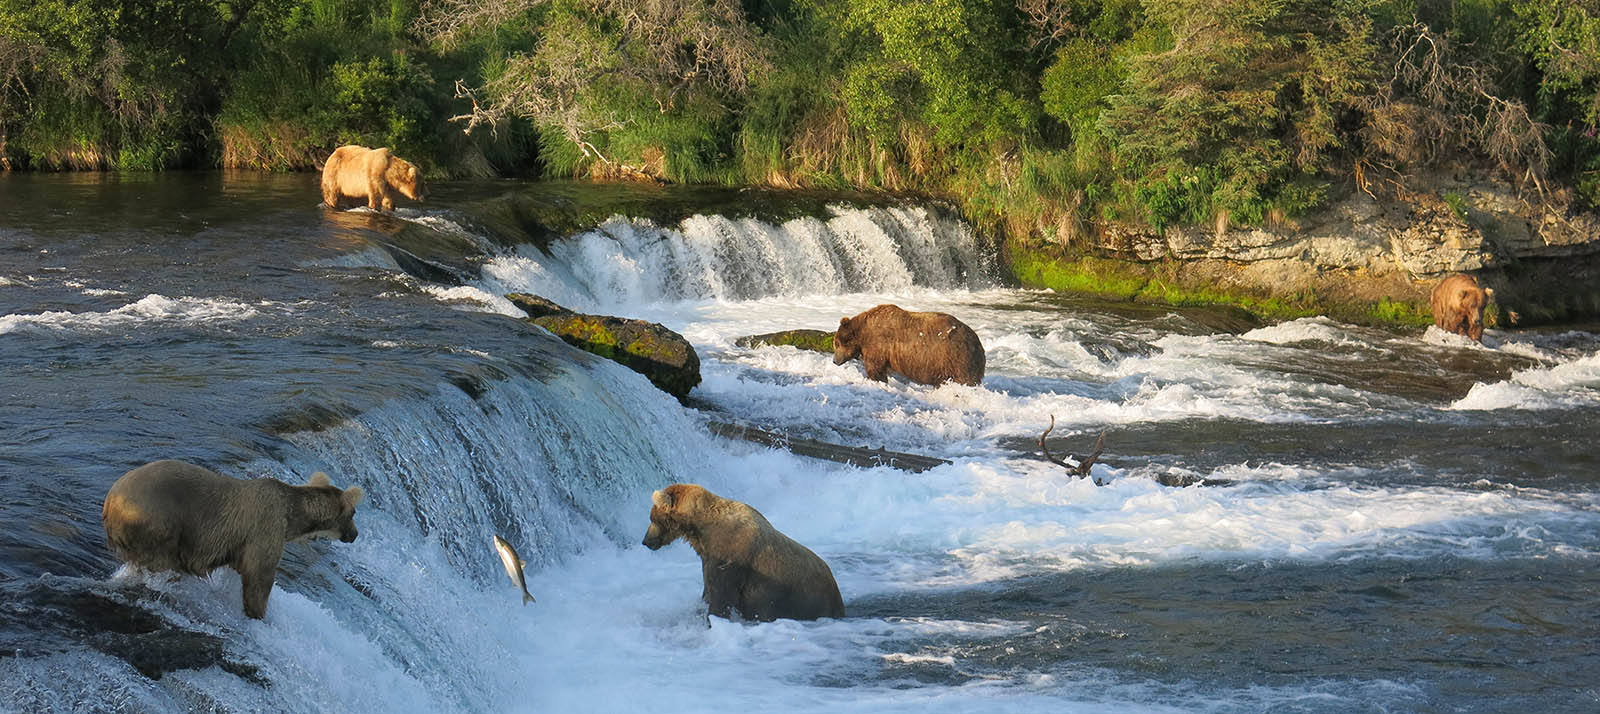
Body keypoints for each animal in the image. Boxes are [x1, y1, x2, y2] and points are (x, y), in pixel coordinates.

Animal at [101, 460, 364, 620]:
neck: (292, 517)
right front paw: (258, 613)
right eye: (353, 513)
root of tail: (110, 499)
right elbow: (259, 577)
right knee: (163, 561)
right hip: (156, 519)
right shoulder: (265, 528)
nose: (355, 534)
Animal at [642, 483, 845, 622]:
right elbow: (708, 589)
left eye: (652, 518)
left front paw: (712, 618)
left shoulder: (731, 556)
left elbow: (721, 596)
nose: (646, 541)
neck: (702, 531)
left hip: (805, 599)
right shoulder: (709, 556)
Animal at [832, 304, 985, 386]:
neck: (863, 331)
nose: (834, 361)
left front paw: (876, 380)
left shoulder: (878, 343)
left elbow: (875, 367)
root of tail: (978, 342)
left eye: (837, 343)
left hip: (956, 358)